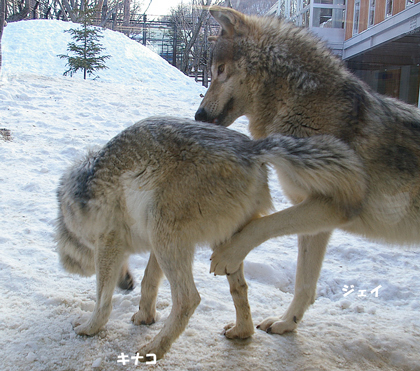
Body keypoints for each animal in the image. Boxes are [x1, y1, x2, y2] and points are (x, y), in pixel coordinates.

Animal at [196, 5, 420, 338]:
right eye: (211, 73)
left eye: (220, 70)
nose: (198, 115)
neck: (298, 103)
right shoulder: (318, 217)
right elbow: (304, 282)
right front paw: (286, 322)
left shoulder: (335, 205)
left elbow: (262, 225)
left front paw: (228, 254)